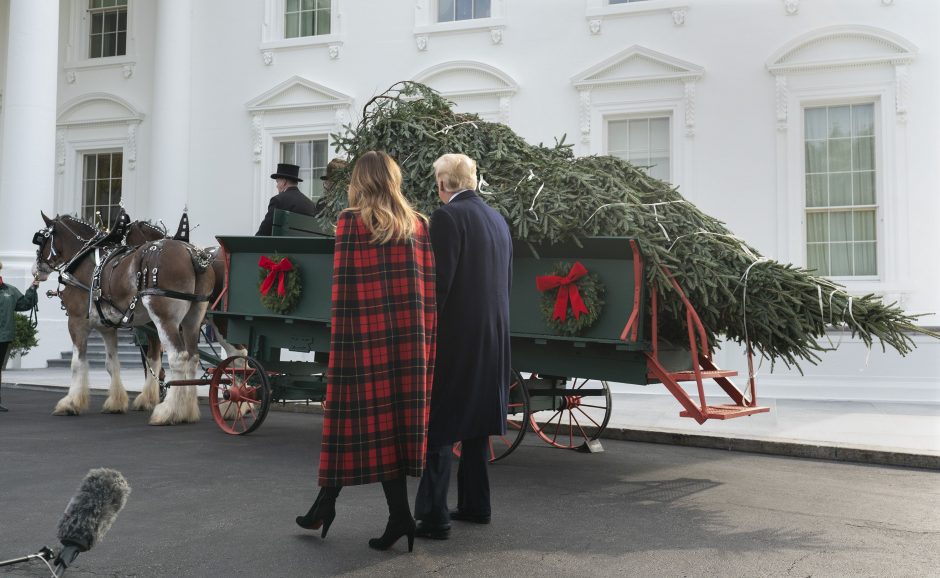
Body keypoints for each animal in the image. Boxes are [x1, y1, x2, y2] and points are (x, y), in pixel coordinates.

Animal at [32, 213, 214, 424]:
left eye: (40, 239)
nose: (35, 270)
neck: (84, 259)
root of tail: (192, 254)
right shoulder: (107, 327)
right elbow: (112, 364)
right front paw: (116, 403)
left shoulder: (77, 321)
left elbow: (77, 363)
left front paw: (70, 403)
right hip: (192, 319)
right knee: (192, 358)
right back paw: (187, 411)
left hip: (165, 319)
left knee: (178, 357)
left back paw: (169, 411)